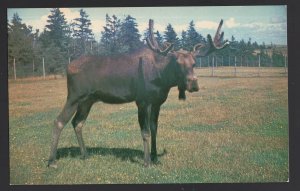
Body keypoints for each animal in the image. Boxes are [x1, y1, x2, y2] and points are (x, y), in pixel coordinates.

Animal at [48, 17, 229, 167]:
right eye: (177, 63)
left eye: (194, 63)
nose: (193, 84)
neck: (162, 78)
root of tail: (67, 68)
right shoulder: (142, 101)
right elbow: (145, 131)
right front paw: (146, 161)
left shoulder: (157, 102)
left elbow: (155, 128)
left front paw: (155, 157)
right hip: (74, 96)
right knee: (59, 121)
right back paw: (52, 161)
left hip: (88, 100)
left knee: (77, 123)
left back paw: (84, 154)